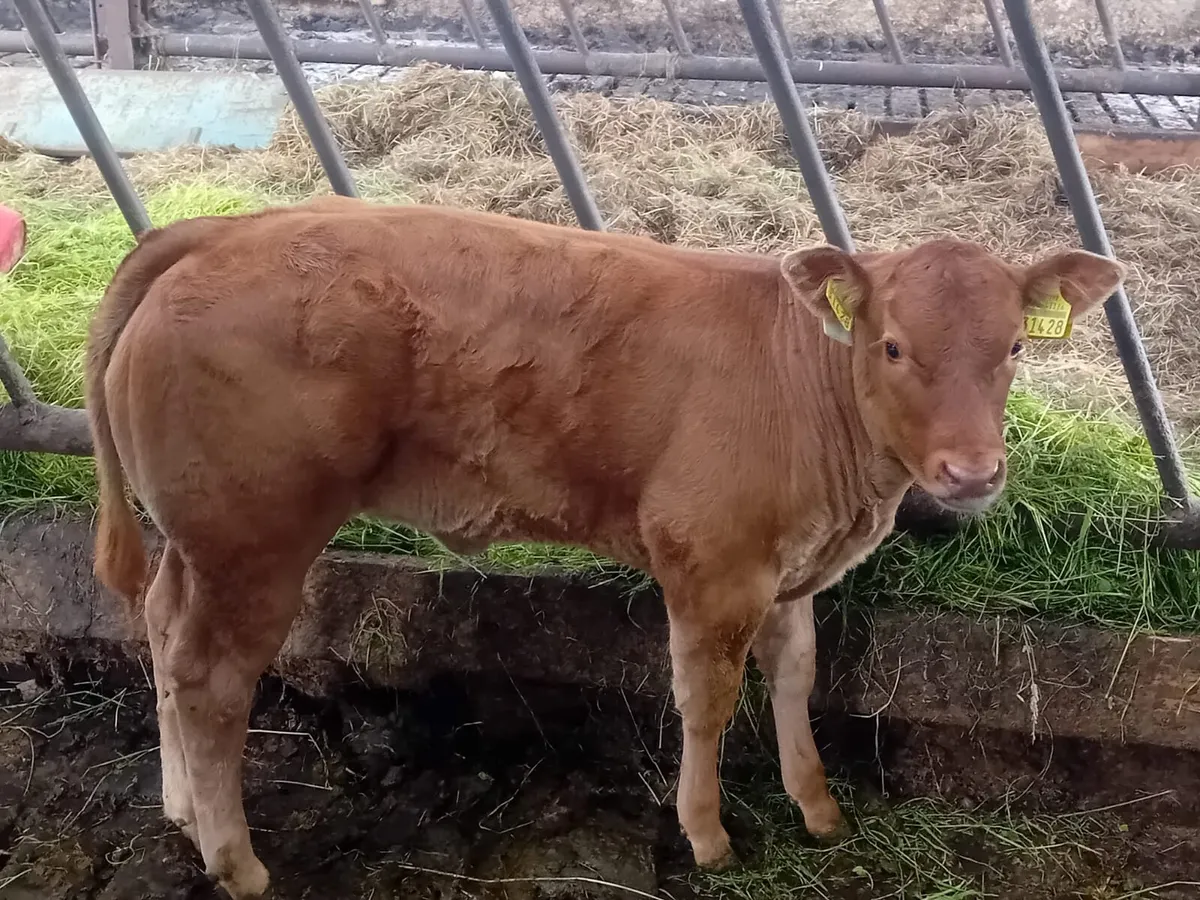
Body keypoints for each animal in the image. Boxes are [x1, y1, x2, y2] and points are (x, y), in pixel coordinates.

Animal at [83, 195, 1123, 899]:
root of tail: (221, 228)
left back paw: (183, 810)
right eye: (895, 346)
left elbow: (795, 675)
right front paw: (706, 835)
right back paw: (235, 859)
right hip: (254, 540)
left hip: (197, 540)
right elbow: (706, 698)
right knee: (212, 679)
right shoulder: (711, 563)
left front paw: (820, 810)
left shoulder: (789, 571)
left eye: (1015, 348)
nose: (972, 471)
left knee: (164, 634)